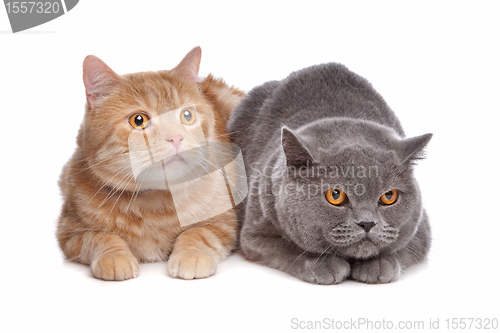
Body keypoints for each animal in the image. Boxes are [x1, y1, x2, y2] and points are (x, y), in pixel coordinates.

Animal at [57, 46, 245, 280]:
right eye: (139, 120)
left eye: (187, 115)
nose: (176, 138)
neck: (154, 207)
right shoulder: (70, 231)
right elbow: (100, 237)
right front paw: (114, 256)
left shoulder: (225, 221)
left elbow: (199, 232)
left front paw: (191, 255)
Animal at [229, 62, 432, 282]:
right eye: (335, 195)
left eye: (389, 196)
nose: (367, 223)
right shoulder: (254, 233)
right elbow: (286, 248)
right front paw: (324, 265)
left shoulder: (422, 231)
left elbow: (405, 247)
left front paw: (378, 266)